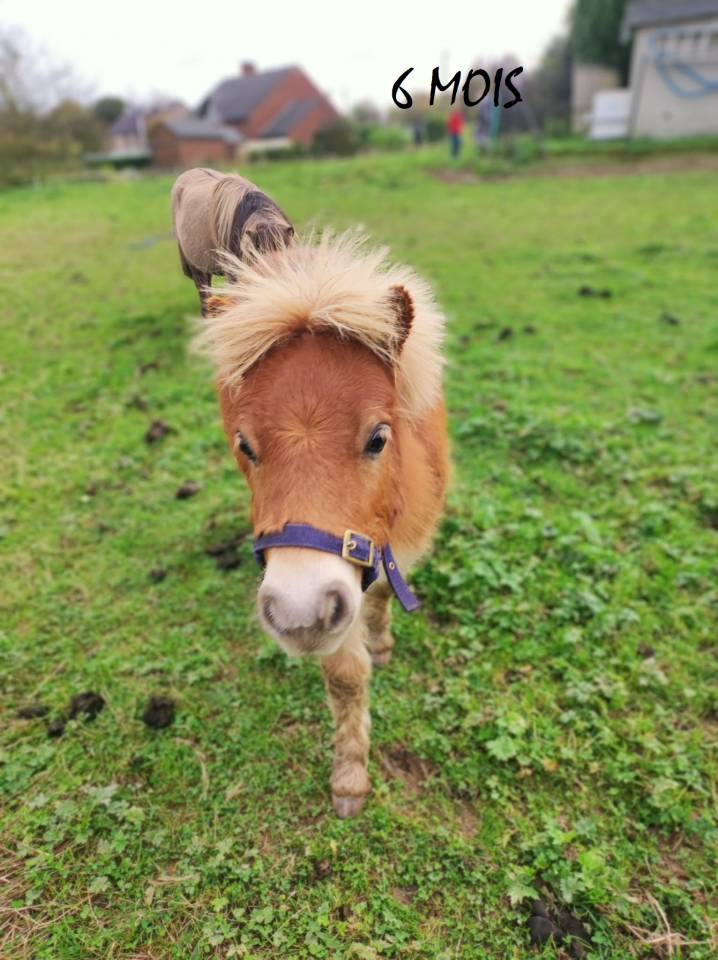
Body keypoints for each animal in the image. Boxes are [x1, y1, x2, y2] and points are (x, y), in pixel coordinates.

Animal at [193, 231, 449, 818]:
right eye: (245, 445)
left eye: (379, 437)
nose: (300, 610)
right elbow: (346, 678)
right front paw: (350, 776)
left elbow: (383, 596)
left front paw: (381, 644)